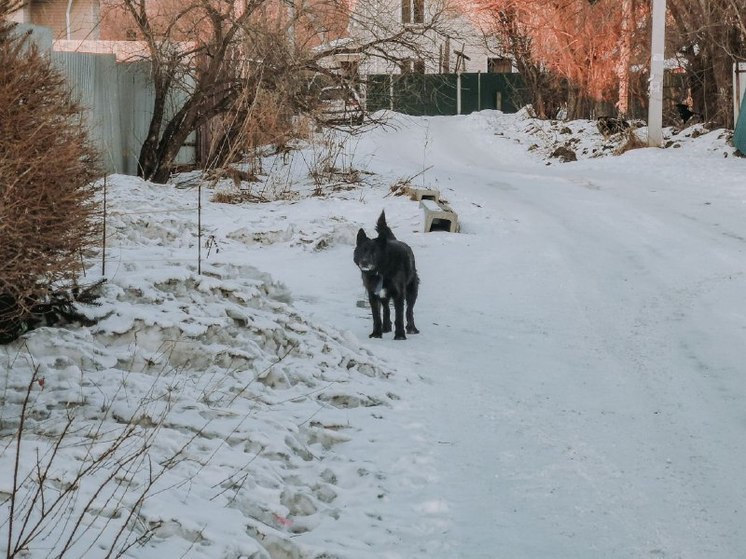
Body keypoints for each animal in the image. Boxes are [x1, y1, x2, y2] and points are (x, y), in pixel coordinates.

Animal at [354, 211, 418, 340]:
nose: (364, 262)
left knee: (409, 311)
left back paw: (411, 328)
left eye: (374, 252)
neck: (382, 270)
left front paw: (400, 335)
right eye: (362, 251)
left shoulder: (399, 294)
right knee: (386, 309)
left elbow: (399, 316)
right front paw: (376, 334)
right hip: (384, 295)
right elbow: (376, 317)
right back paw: (386, 327)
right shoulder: (373, 295)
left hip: (412, 290)